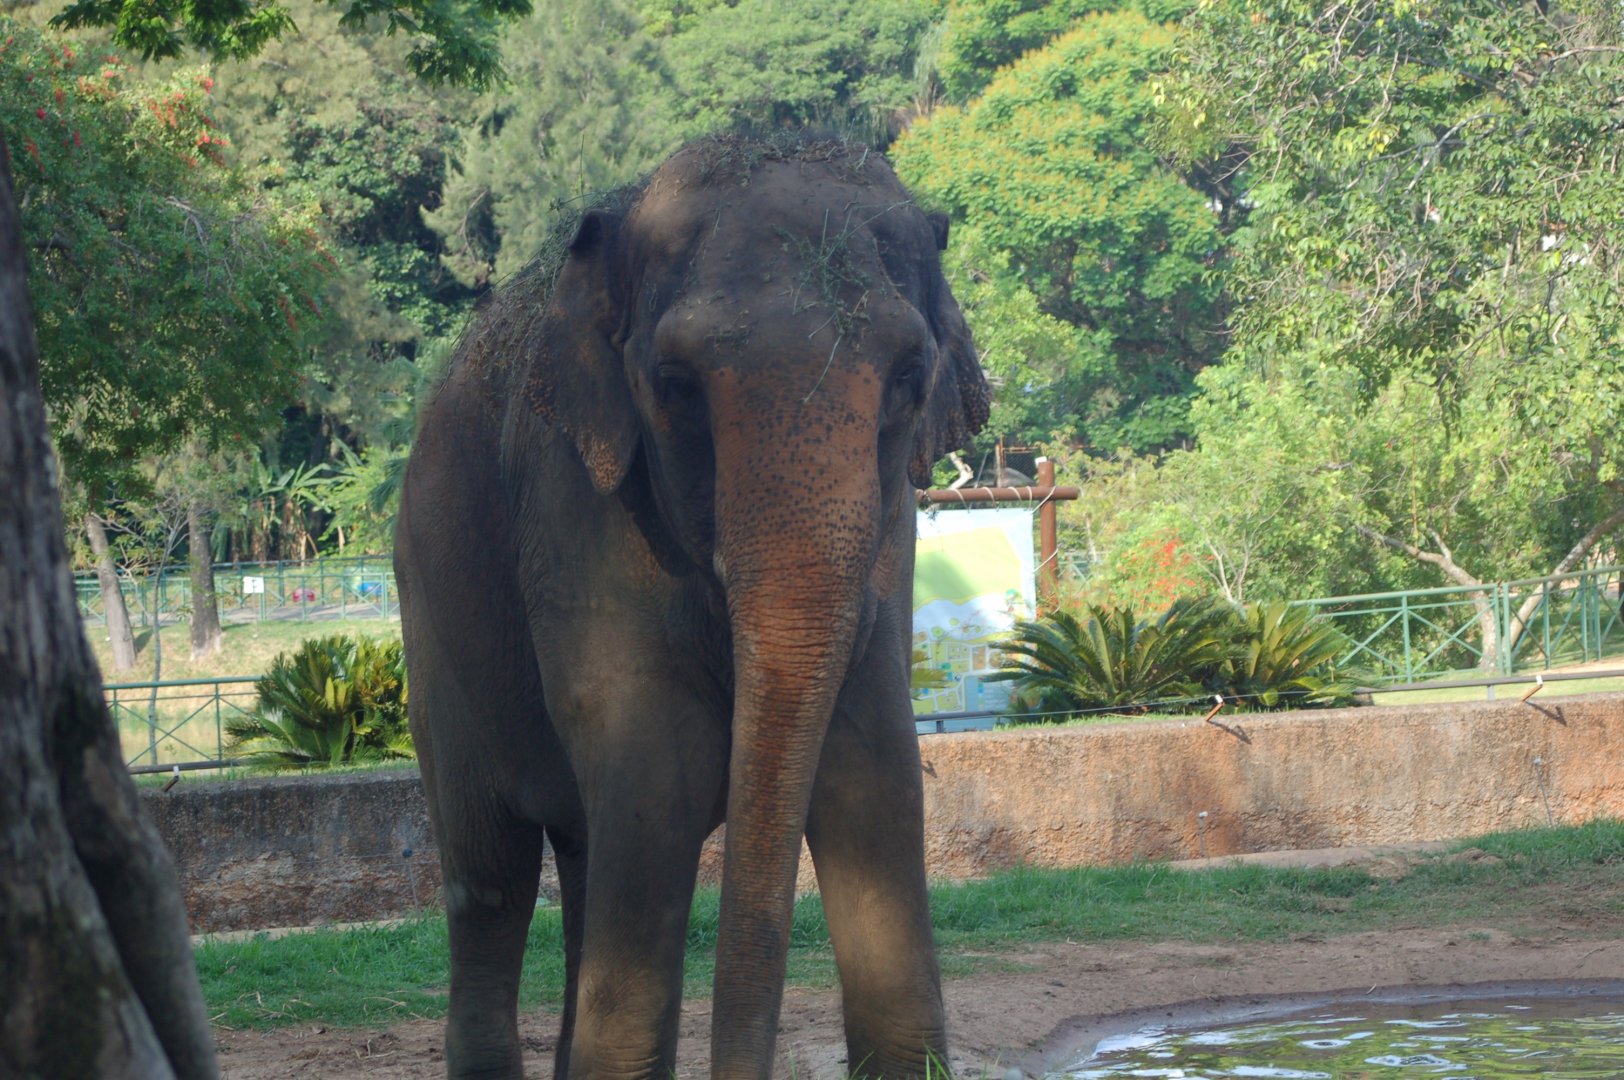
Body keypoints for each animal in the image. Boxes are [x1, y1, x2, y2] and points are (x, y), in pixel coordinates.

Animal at [394, 132, 989, 1080]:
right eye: (674, 384)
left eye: (907, 377)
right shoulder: (576, 505)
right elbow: (658, 767)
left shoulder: (892, 528)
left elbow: (874, 766)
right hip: (432, 617)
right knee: (491, 874)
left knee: (586, 856)